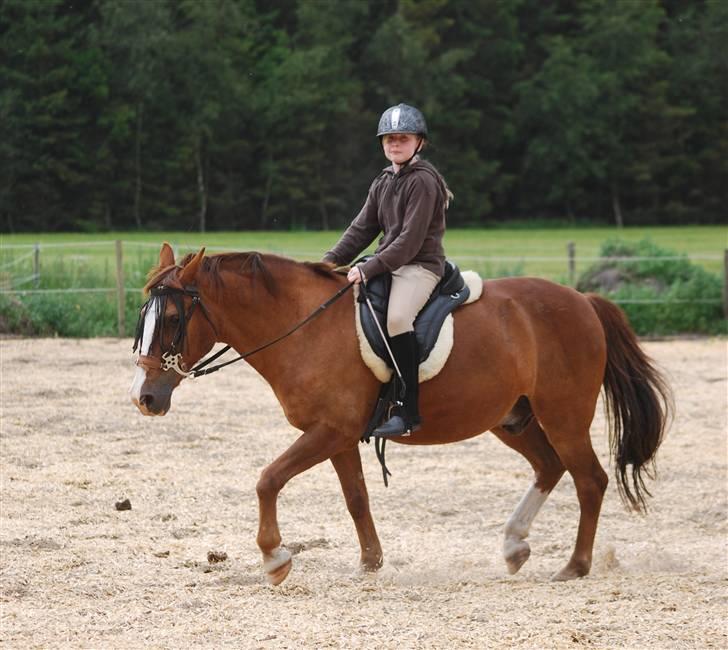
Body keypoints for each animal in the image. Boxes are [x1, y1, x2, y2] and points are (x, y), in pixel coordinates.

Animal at [129, 242, 672, 584]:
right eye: (144, 318)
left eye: (173, 319)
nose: (144, 398)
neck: (304, 326)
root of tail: (582, 300)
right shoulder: (337, 436)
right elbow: (356, 498)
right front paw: (370, 563)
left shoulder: (329, 431)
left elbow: (268, 479)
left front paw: (275, 558)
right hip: (511, 418)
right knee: (550, 466)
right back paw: (514, 546)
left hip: (564, 416)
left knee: (589, 480)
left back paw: (575, 566)